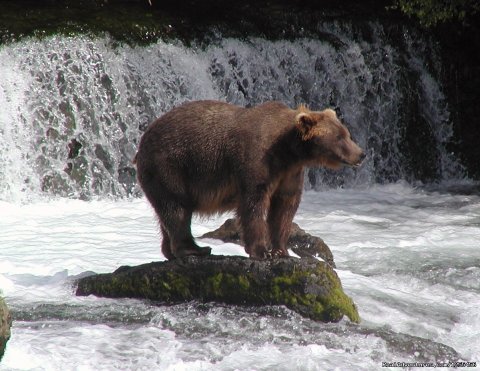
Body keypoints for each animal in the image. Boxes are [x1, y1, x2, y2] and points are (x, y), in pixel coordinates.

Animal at [133, 100, 366, 260]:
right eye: (339, 137)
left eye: (346, 133)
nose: (361, 154)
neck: (288, 151)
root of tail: (141, 144)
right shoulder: (256, 162)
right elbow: (253, 204)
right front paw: (262, 251)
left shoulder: (290, 174)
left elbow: (284, 209)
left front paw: (281, 250)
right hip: (169, 167)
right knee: (177, 209)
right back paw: (195, 249)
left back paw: (171, 251)